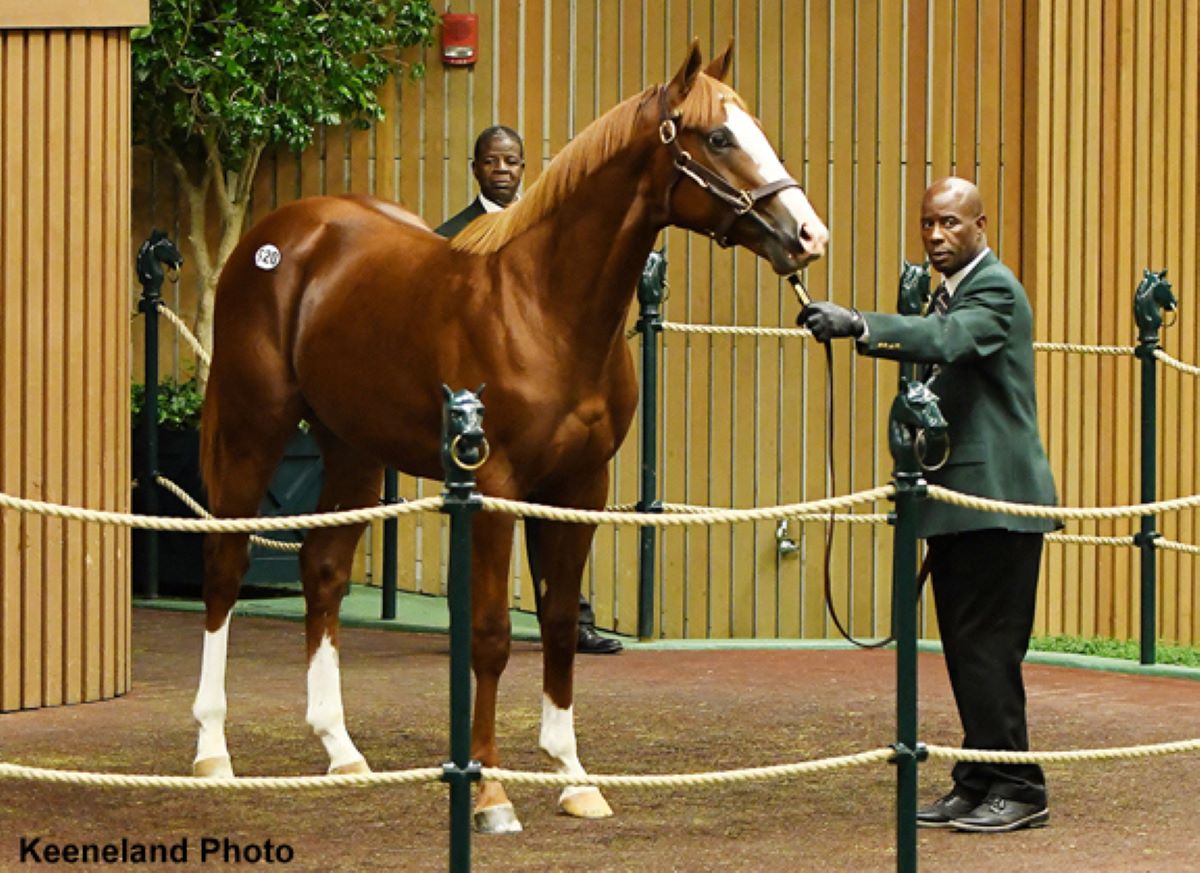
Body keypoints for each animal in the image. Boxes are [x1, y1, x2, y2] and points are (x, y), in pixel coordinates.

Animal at [194, 44, 825, 834]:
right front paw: (490, 794)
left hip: (352, 447)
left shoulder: (581, 488)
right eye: (717, 137)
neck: (543, 306)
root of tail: (278, 236)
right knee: (225, 567)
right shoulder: (495, 488)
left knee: (325, 570)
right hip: (255, 430)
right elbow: (492, 635)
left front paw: (574, 777)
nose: (809, 234)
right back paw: (212, 752)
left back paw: (341, 750)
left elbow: (556, 623)